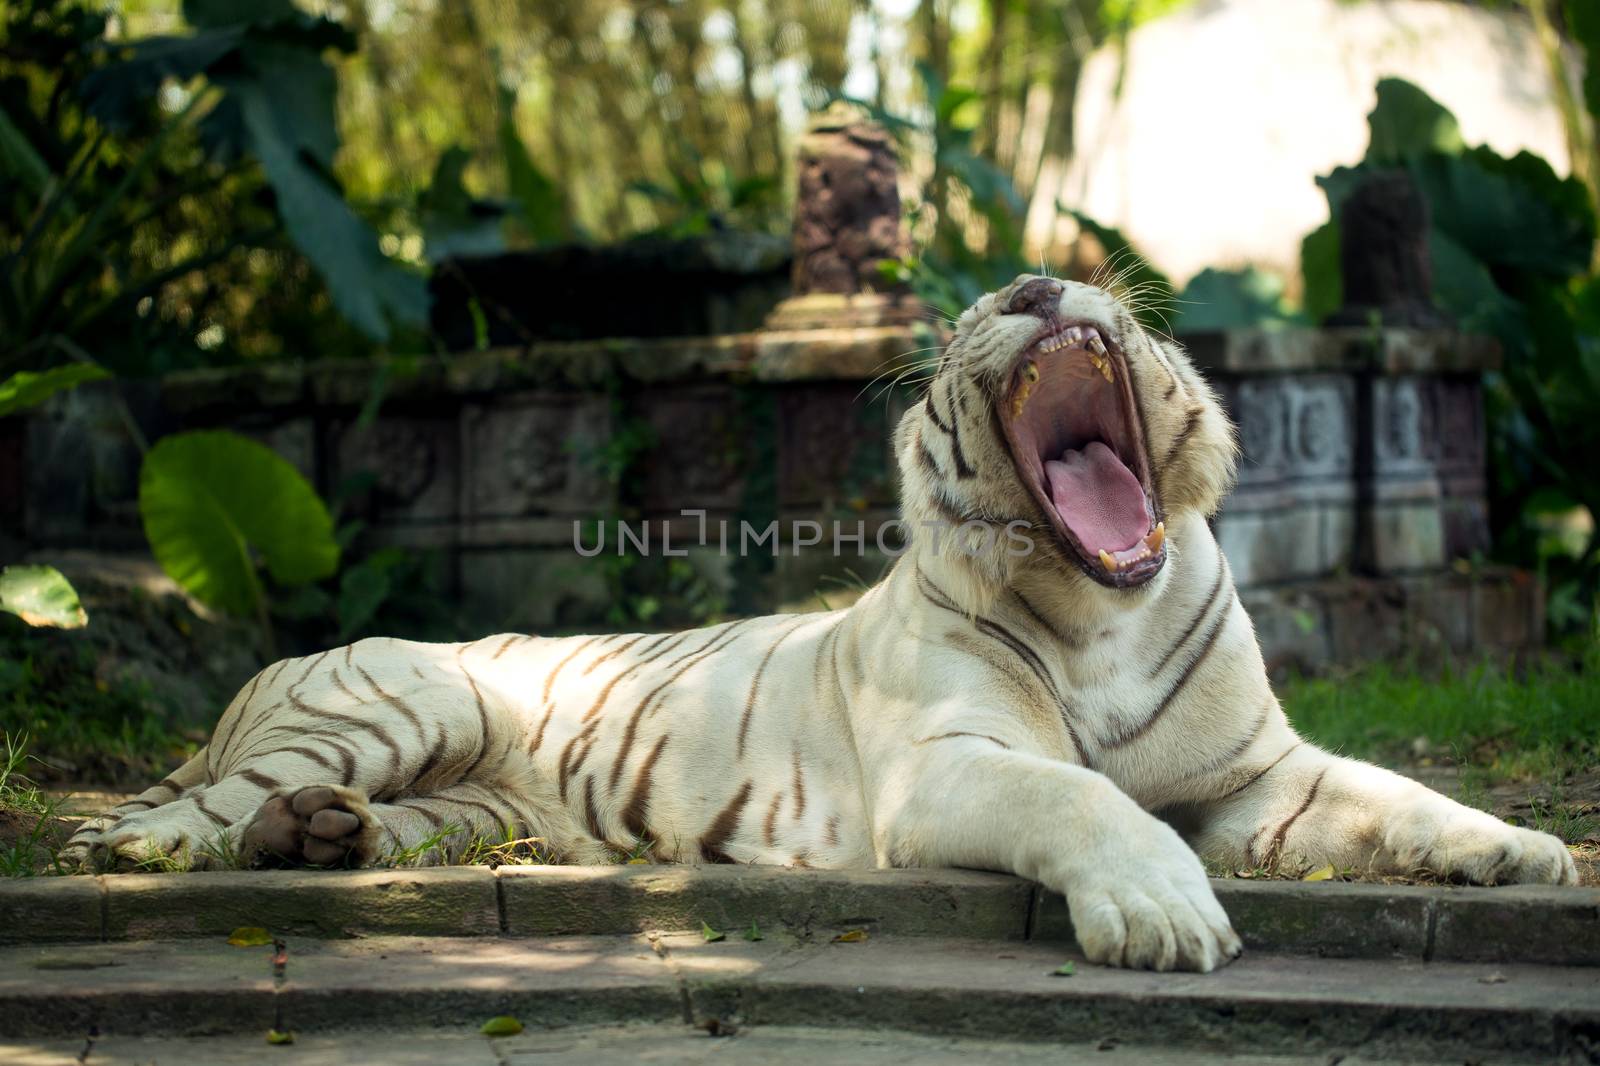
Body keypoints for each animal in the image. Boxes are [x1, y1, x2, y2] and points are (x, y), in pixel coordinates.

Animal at [65, 273, 1574, 973]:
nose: (1035, 290)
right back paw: (145, 847)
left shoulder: (1255, 773)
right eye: (982, 309)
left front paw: (1523, 850)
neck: (1103, 608)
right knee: (181, 809)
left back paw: (322, 838)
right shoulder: (948, 768)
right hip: (402, 697)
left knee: (341, 816)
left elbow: (1393, 794)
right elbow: (1084, 799)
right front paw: (1159, 913)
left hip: (471, 799)